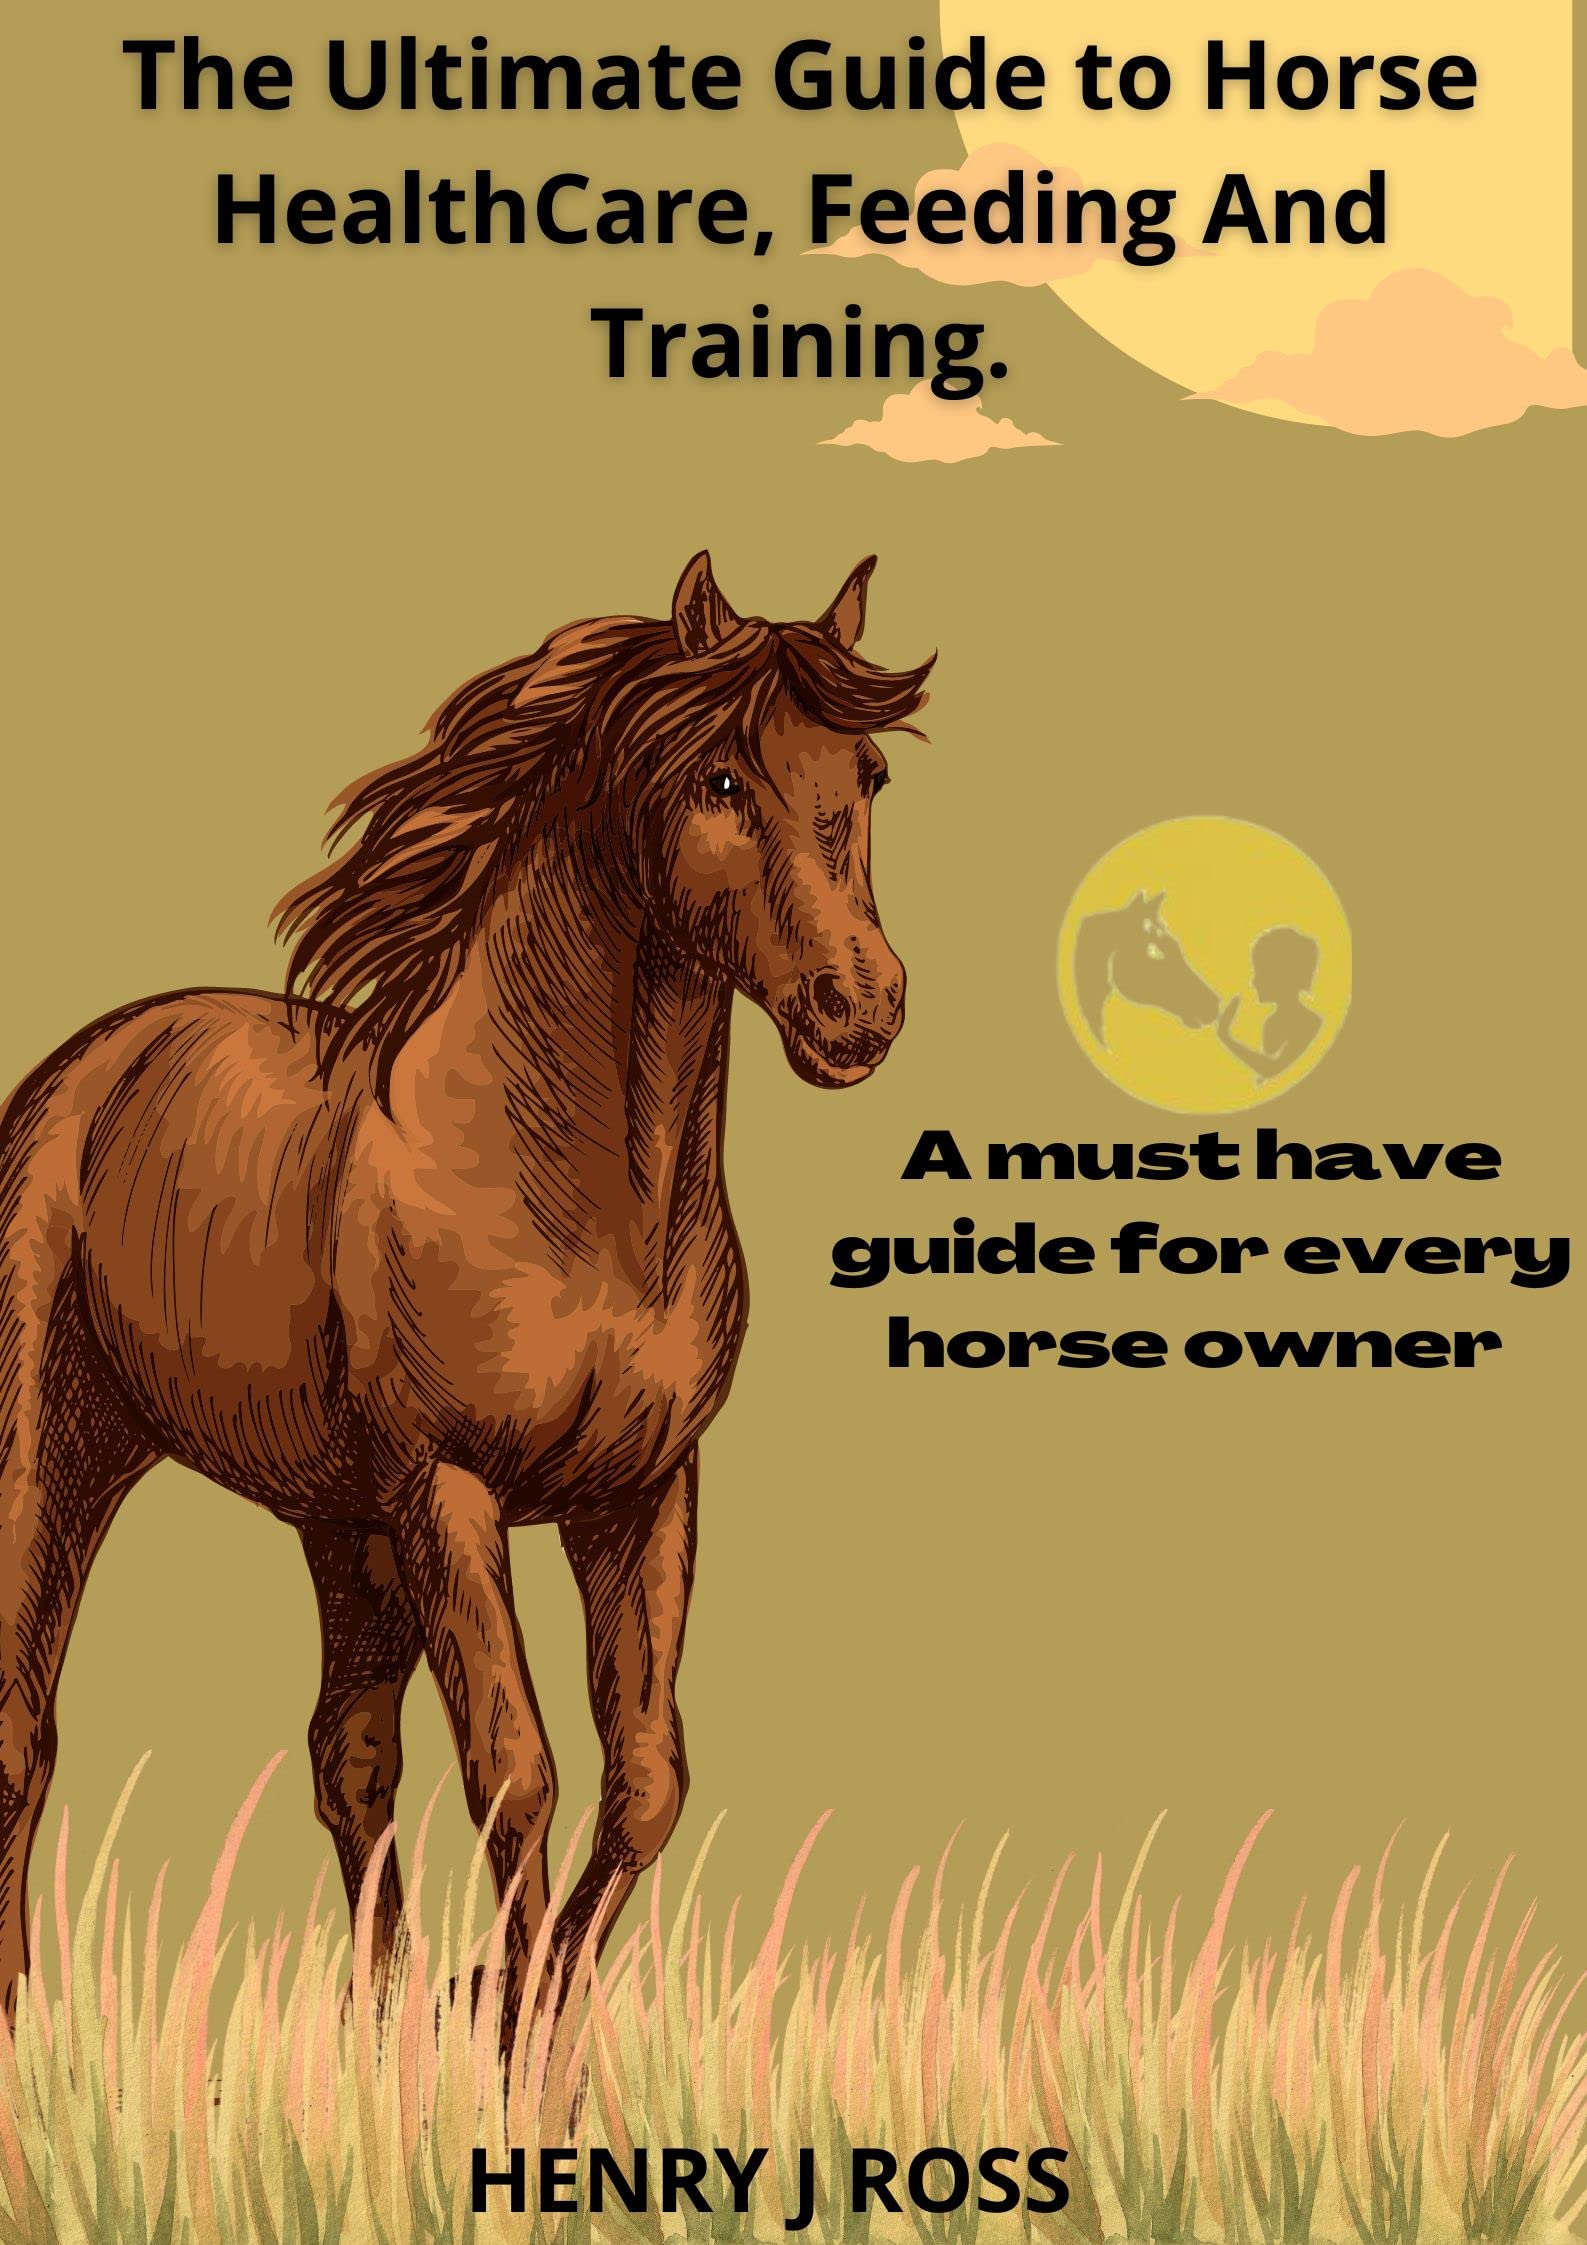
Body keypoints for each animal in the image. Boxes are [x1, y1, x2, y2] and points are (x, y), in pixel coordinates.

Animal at [0, 553, 932, 2036]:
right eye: (722, 775)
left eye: (870, 773)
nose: (860, 1008)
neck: (573, 1191)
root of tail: (92, 1062)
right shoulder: (451, 1493)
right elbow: (517, 1769)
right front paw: (502, 2031)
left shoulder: (638, 1493)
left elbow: (643, 1777)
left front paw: (516, 2021)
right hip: (63, 1455)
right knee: (22, 1733)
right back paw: (29, 2029)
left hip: (341, 1525)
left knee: (347, 1753)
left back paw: (375, 2027)